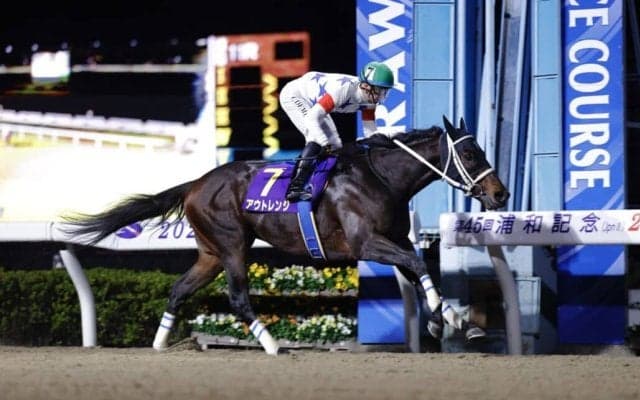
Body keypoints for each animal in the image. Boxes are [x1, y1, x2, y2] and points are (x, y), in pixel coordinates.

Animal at [61, 115, 509, 354]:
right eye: (470, 154)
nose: (500, 194)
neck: (380, 178)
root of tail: (194, 184)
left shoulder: (396, 239)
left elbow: (417, 272)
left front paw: (450, 320)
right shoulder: (367, 244)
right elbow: (417, 265)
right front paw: (447, 317)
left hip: (210, 253)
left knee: (178, 290)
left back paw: (157, 344)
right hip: (232, 245)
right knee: (238, 298)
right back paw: (274, 346)